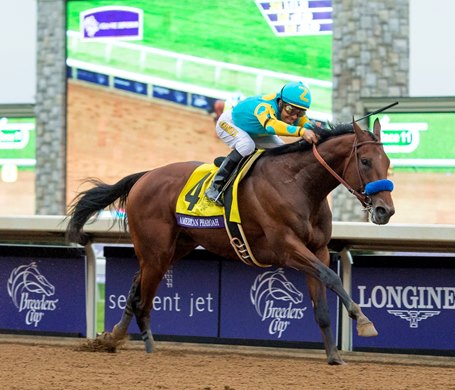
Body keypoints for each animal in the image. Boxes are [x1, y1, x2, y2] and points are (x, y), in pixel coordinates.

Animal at [67, 119, 396, 366]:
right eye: (365, 160)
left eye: (388, 162)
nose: (385, 210)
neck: (298, 184)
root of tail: (146, 176)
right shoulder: (286, 248)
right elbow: (332, 278)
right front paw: (363, 320)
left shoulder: (317, 250)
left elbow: (323, 303)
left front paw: (333, 356)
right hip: (156, 251)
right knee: (142, 295)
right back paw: (146, 344)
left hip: (174, 248)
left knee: (137, 286)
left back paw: (113, 338)